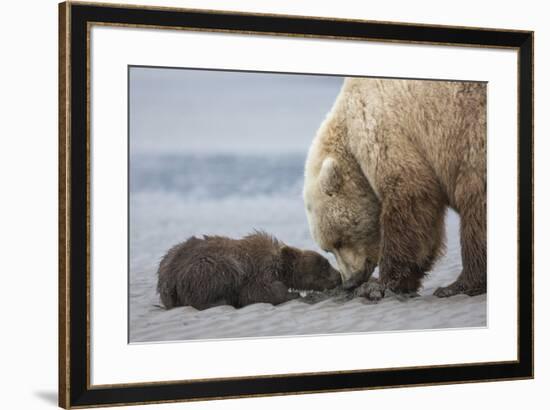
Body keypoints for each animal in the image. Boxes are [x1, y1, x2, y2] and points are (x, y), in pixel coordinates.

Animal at [304, 77, 490, 302]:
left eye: (339, 241)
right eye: (328, 249)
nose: (349, 281)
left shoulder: (384, 128)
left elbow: (410, 199)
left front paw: (380, 285)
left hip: (472, 136)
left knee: (475, 206)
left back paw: (457, 285)